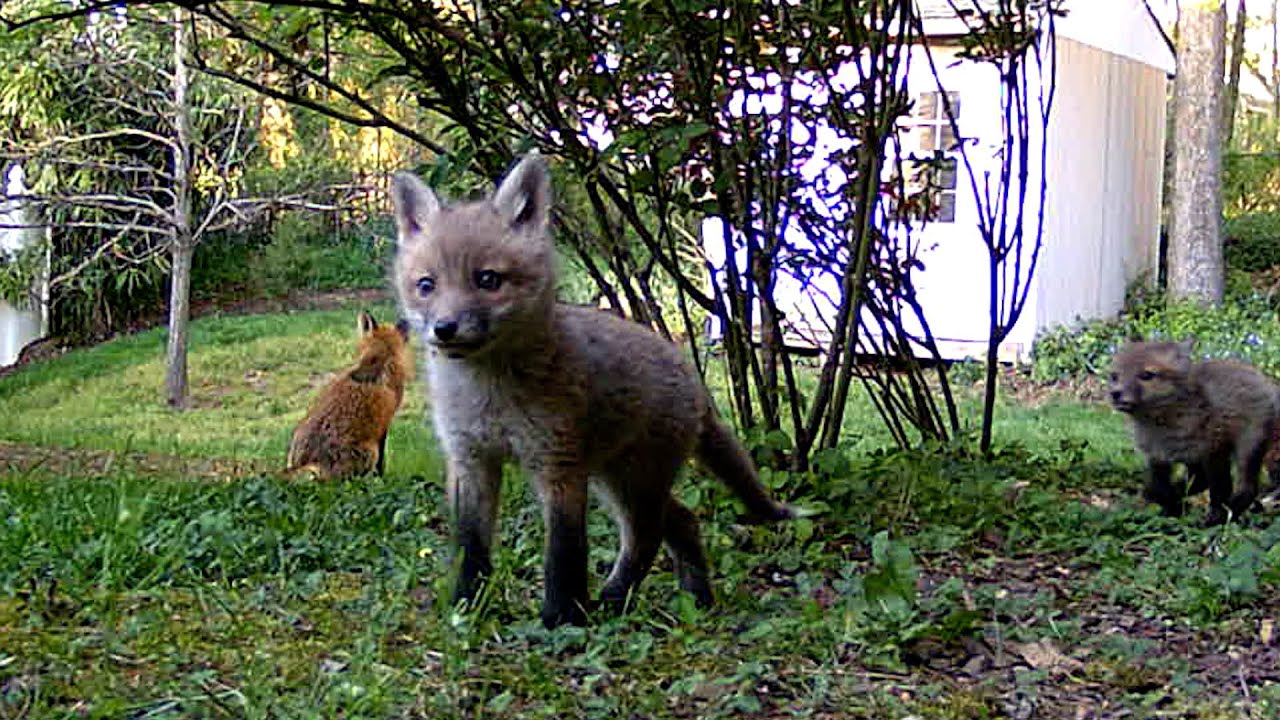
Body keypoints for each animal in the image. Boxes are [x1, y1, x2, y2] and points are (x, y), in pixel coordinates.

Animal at [286, 311, 412, 479]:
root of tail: (309, 462)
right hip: (370, 452)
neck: (378, 362)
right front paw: (381, 477)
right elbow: (381, 461)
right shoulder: (384, 423)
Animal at [390, 152, 792, 628]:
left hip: (632, 480)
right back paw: (696, 599)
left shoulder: (559, 464)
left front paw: (562, 618)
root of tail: (689, 373)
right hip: (615, 476)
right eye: (426, 285)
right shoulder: (470, 459)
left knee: (647, 535)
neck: (489, 394)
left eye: (488, 280)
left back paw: (614, 599)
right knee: (683, 521)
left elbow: (563, 553)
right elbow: (471, 546)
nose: (444, 329)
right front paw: (468, 605)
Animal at [1109, 340, 1280, 525]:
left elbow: (1217, 489)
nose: (1115, 393)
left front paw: (1213, 516)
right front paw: (1170, 510)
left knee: (1248, 489)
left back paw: (1225, 516)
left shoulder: (1212, 451)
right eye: (1114, 376)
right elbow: (1162, 490)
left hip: (1248, 447)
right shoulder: (1159, 458)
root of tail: (1266, 379)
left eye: (1147, 375)